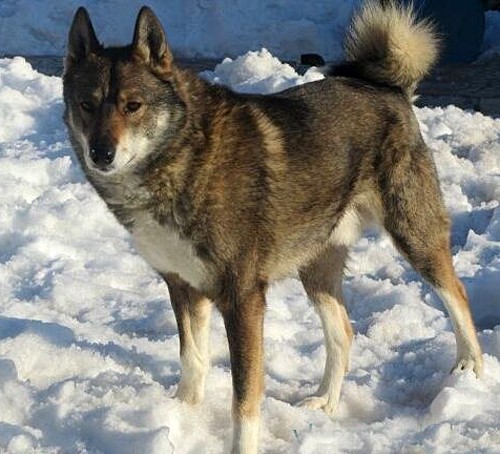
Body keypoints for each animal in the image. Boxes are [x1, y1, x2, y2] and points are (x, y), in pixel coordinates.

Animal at [63, 2, 483, 452]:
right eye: (87, 105)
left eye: (133, 105)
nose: (101, 153)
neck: (184, 155)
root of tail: (385, 88)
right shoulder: (183, 286)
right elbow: (193, 361)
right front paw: (183, 416)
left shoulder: (243, 298)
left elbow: (245, 397)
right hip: (315, 266)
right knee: (343, 332)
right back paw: (325, 402)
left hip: (414, 235)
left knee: (457, 295)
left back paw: (471, 371)